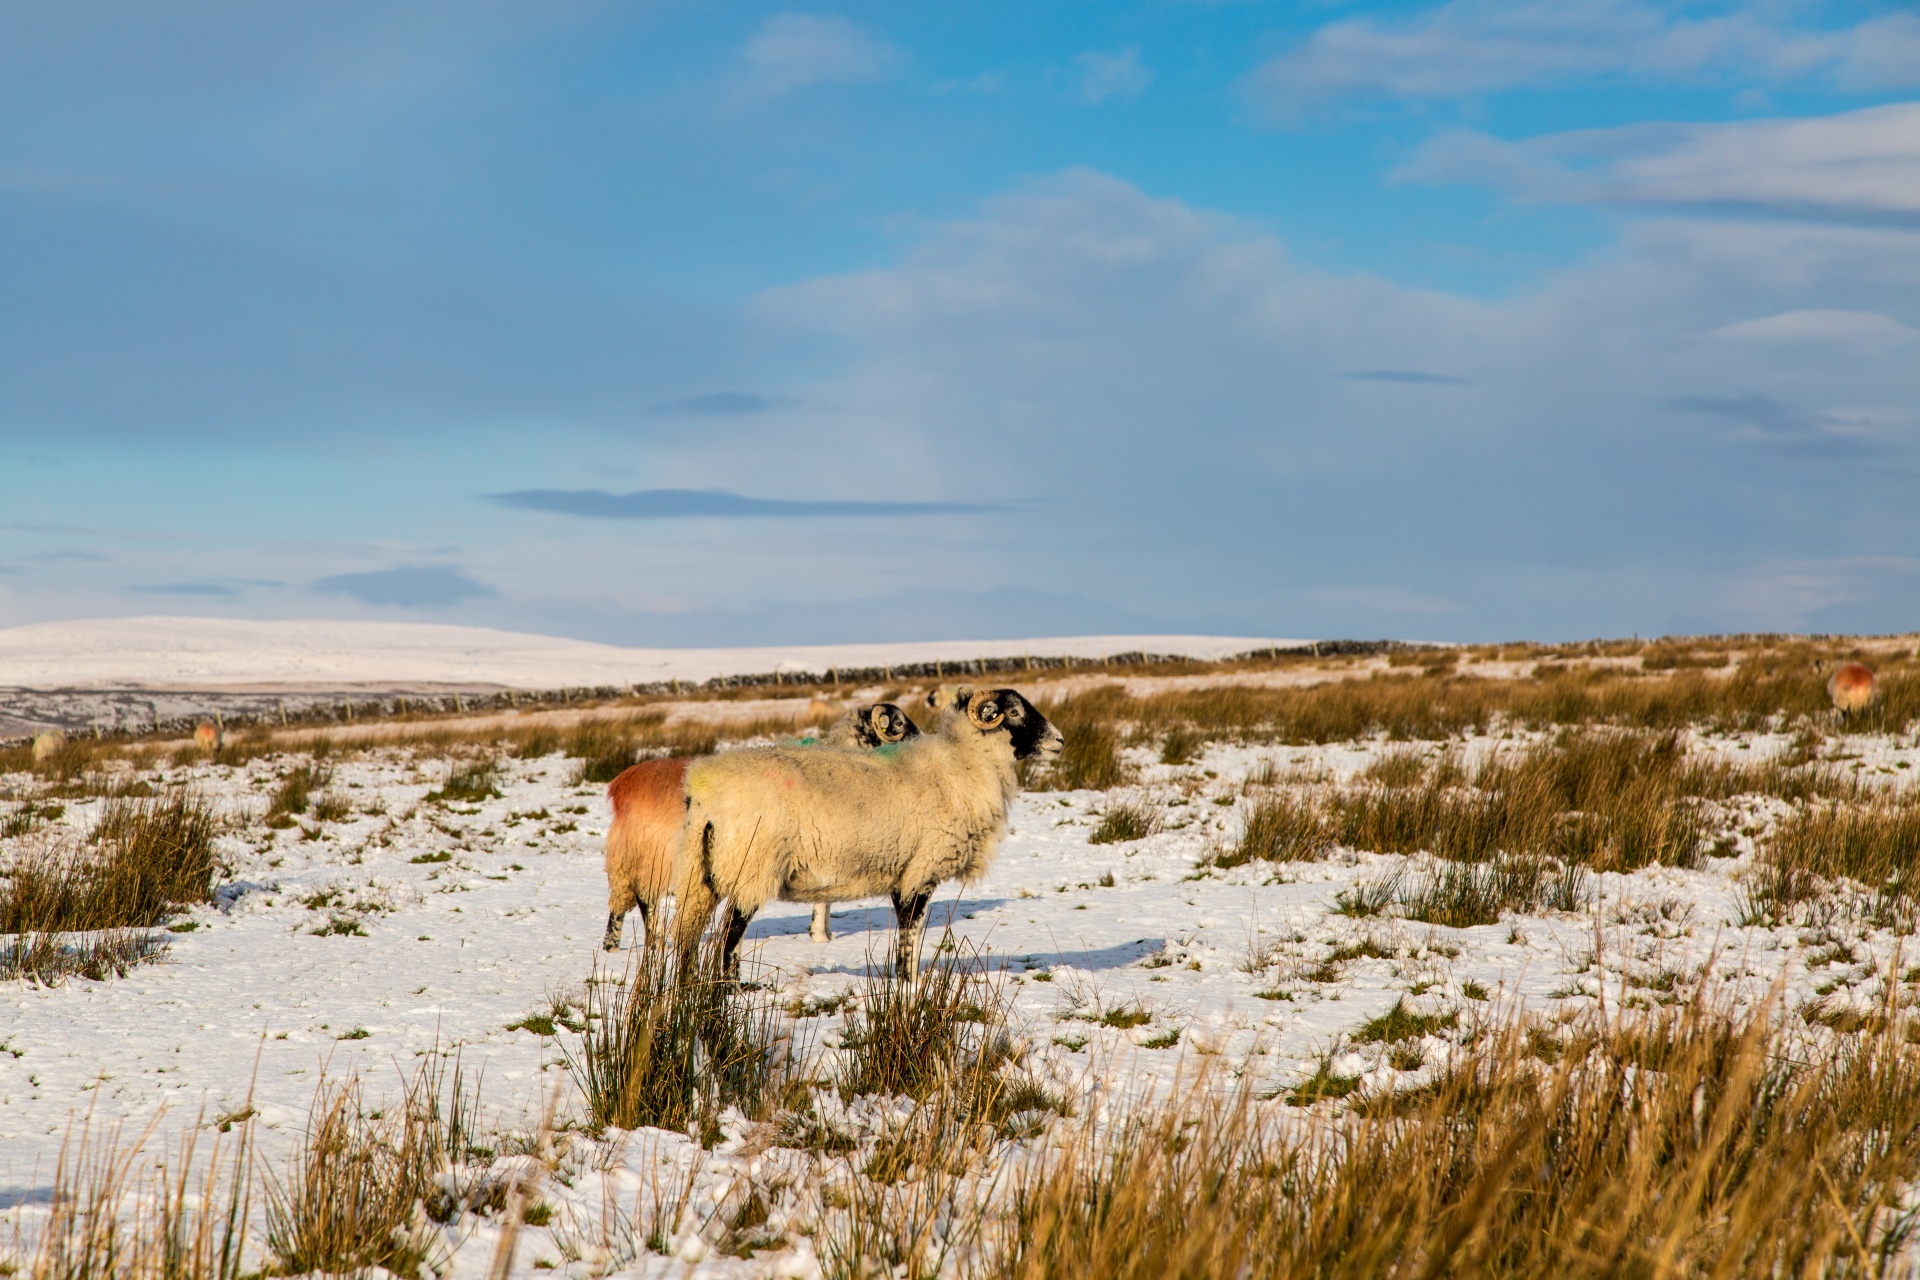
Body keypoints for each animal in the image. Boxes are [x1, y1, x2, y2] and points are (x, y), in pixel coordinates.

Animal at [602, 702, 925, 951]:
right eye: (898, 723)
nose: (923, 738)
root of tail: (623, 783)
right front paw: (821, 936)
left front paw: (821, 933)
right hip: (652, 854)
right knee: (645, 900)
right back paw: (650, 943)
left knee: (622, 901)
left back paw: (615, 946)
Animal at [672, 690, 1067, 982]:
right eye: (1014, 711)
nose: (1060, 741)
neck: (961, 766)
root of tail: (702, 787)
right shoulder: (920, 872)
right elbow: (911, 937)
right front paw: (909, 987)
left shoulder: (902, 874)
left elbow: (906, 936)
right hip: (751, 867)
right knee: (729, 935)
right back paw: (730, 989)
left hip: (702, 873)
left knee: (689, 936)